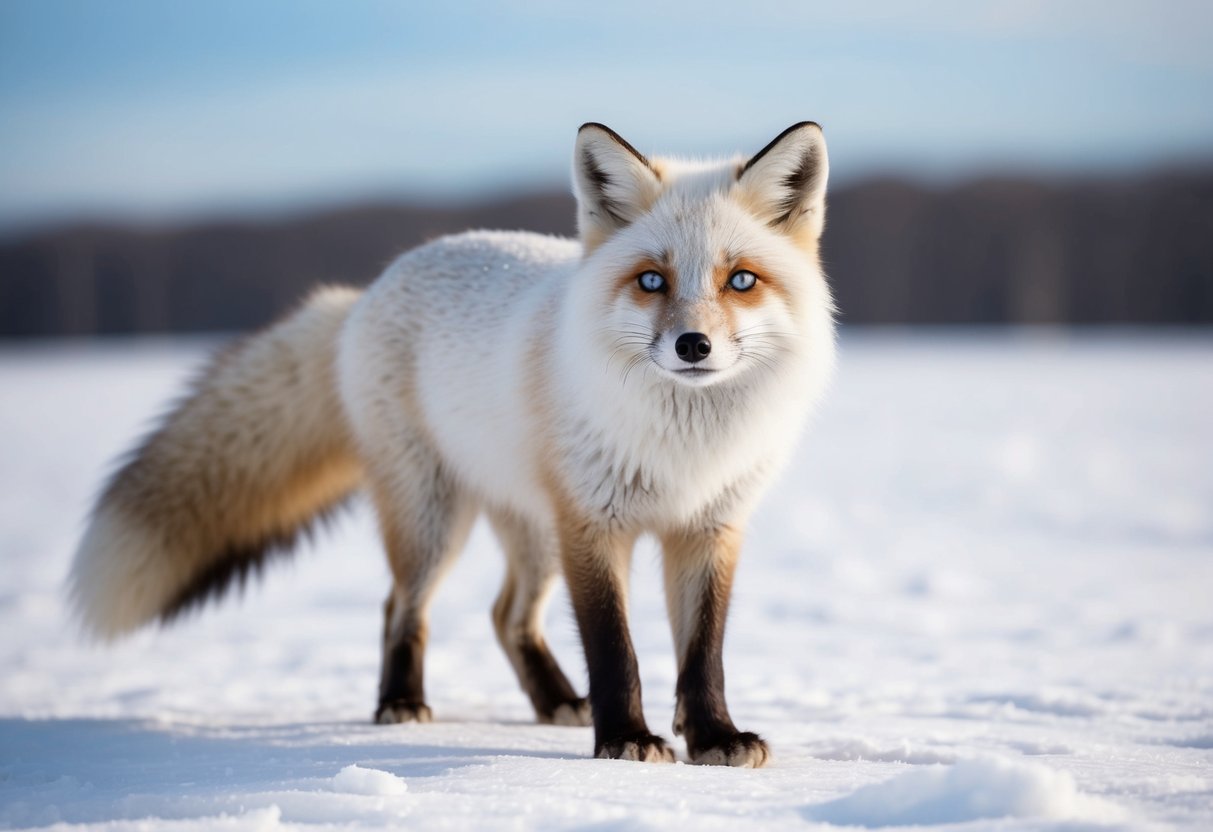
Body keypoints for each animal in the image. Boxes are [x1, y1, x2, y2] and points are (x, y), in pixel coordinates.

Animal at [69, 122, 836, 767]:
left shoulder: (709, 528)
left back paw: (558, 701)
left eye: (740, 279)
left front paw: (712, 738)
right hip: (435, 520)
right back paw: (401, 703)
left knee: (506, 617)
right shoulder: (593, 525)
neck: (683, 446)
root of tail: (368, 289)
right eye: (652, 279)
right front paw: (624, 740)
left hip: (532, 531)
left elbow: (702, 656)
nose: (693, 346)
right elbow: (615, 650)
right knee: (400, 609)